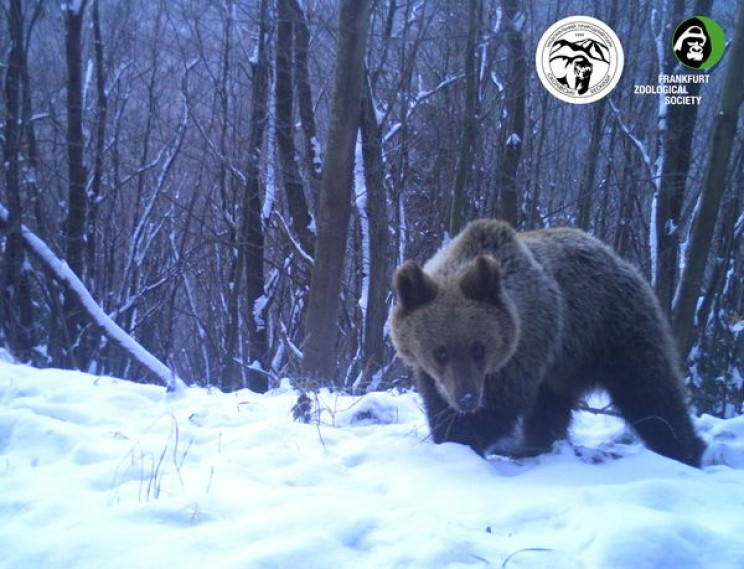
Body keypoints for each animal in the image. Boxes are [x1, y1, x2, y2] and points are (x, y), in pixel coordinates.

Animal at [392, 219, 708, 466]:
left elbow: (499, 408)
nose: (467, 398)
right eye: (440, 352)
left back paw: (685, 451)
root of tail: (622, 261)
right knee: (553, 407)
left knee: (650, 391)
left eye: (478, 348)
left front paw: (464, 438)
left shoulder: (523, 354)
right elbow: (437, 405)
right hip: (566, 363)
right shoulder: (433, 375)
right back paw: (537, 446)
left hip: (615, 332)